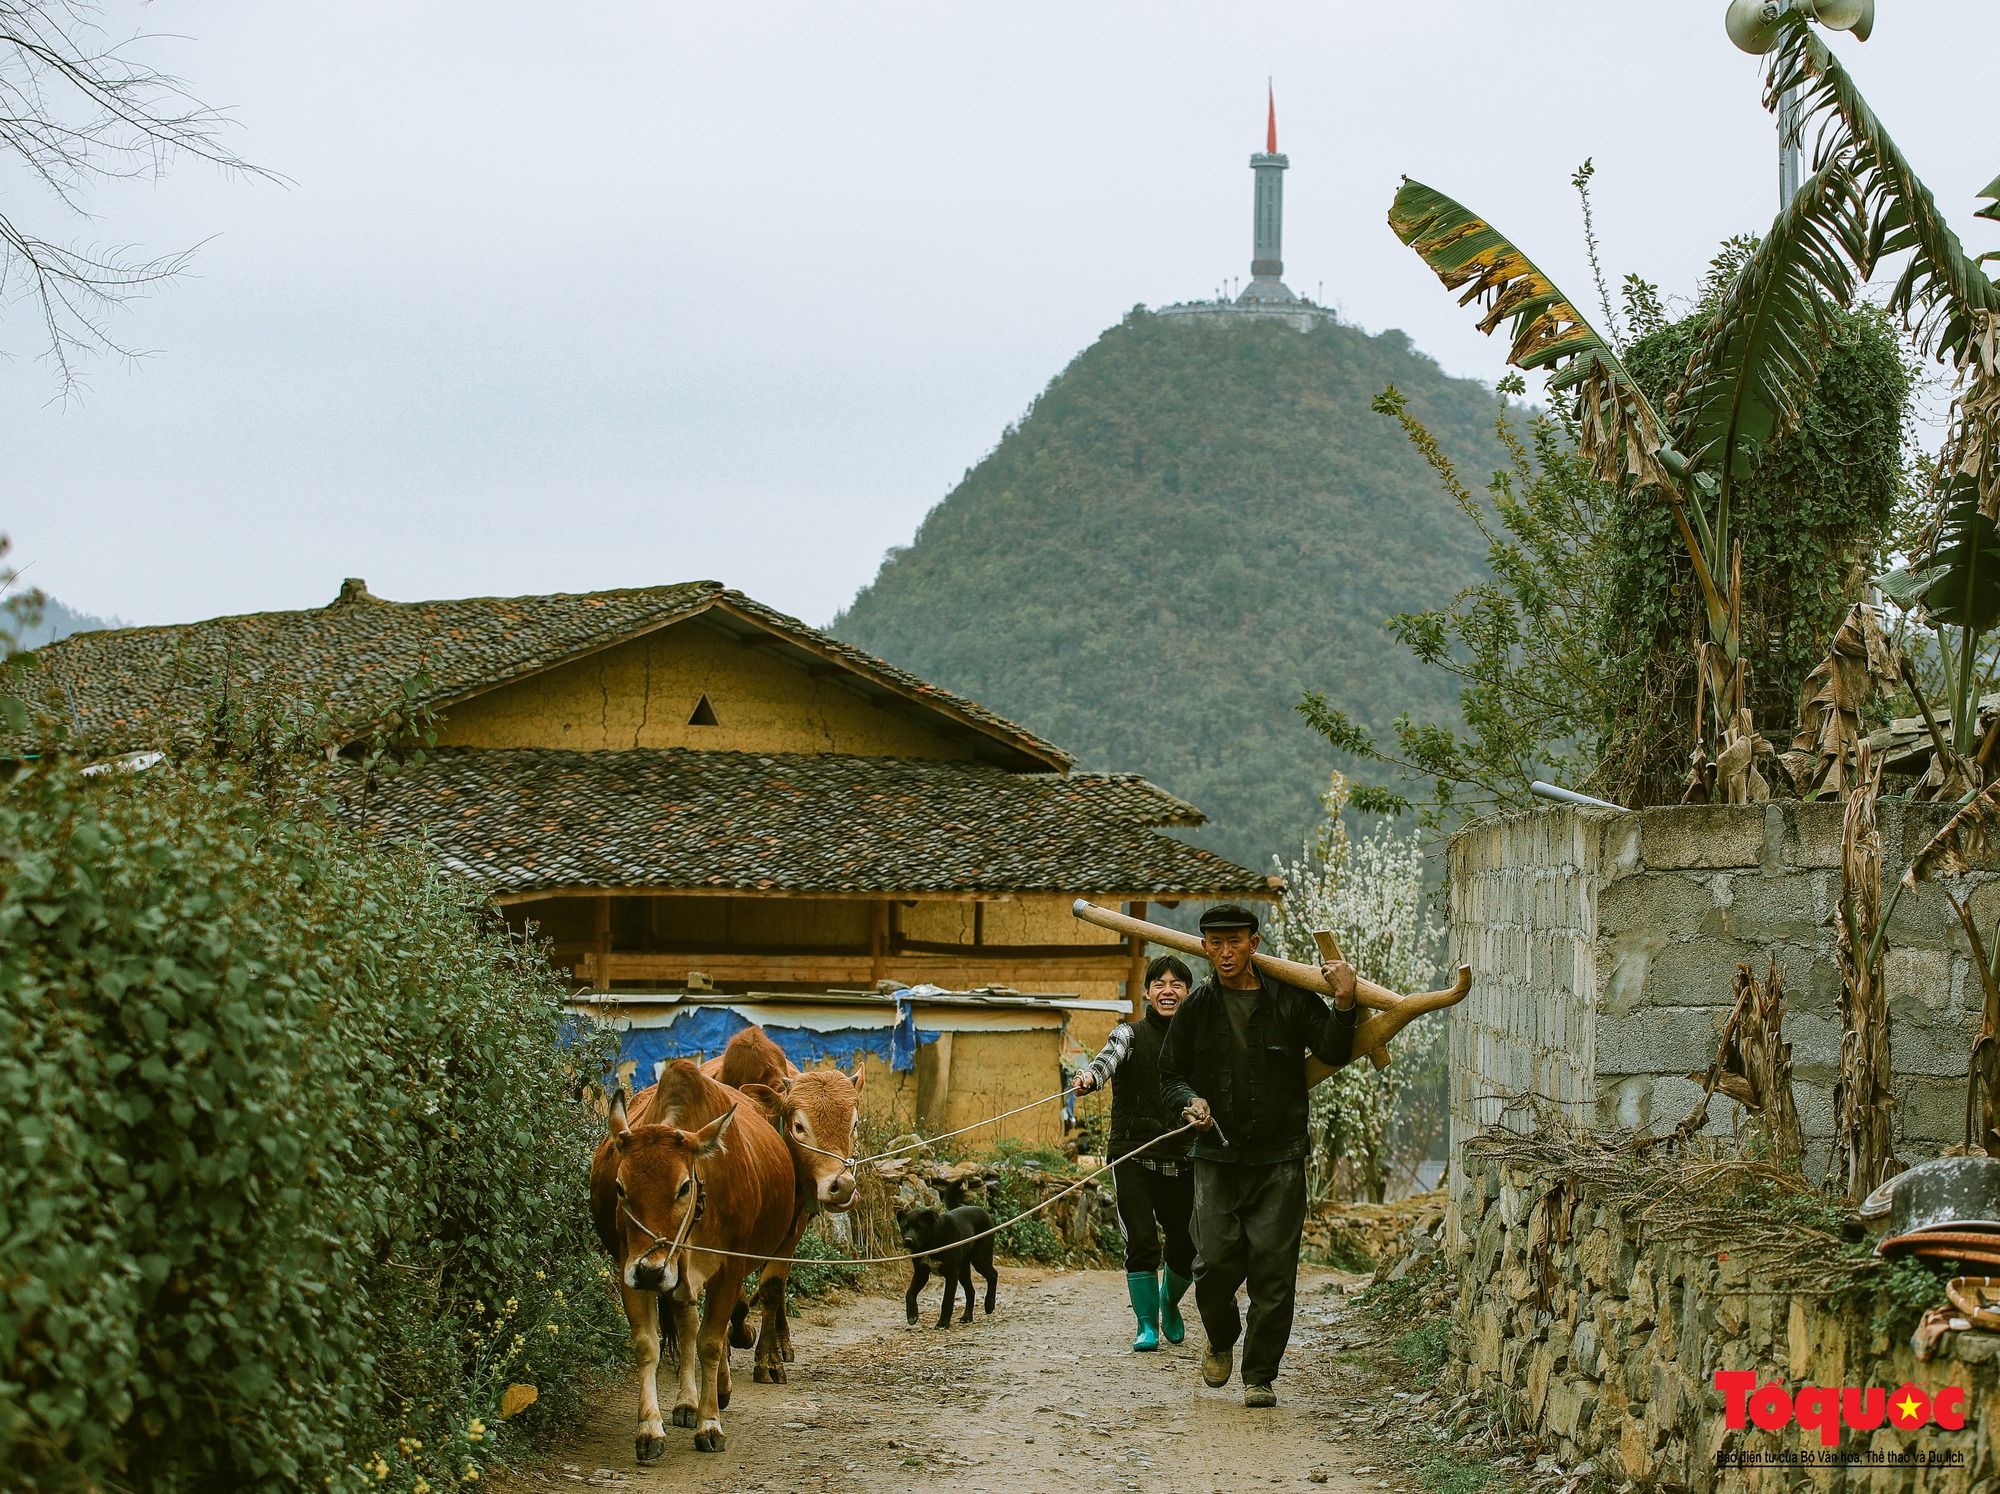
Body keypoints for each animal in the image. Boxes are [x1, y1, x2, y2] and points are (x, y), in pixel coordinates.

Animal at [588, 1064, 792, 1464]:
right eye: (620, 1187)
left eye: (684, 1187)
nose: (650, 1269)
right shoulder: (629, 1267)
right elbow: (648, 1344)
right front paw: (649, 1430)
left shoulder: (729, 1269)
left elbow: (711, 1342)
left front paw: (709, 1424)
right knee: (686, 1324)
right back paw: (686, 1402)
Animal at [896, 1200, 996, 1336]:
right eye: (905, 1227)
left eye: (919, 1228)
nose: (908, 1240)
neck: (931, 1243)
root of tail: (983, 1211)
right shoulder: (921, 1273)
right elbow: (910, 1292)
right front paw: (912, 1315)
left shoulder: (951, 1273)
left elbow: (947, 1300)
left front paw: (942, 1323)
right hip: (963, 1269)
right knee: (971, 1290)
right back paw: (967, 1317)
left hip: (980, 1258)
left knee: (993, 1275)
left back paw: (989, 1304)